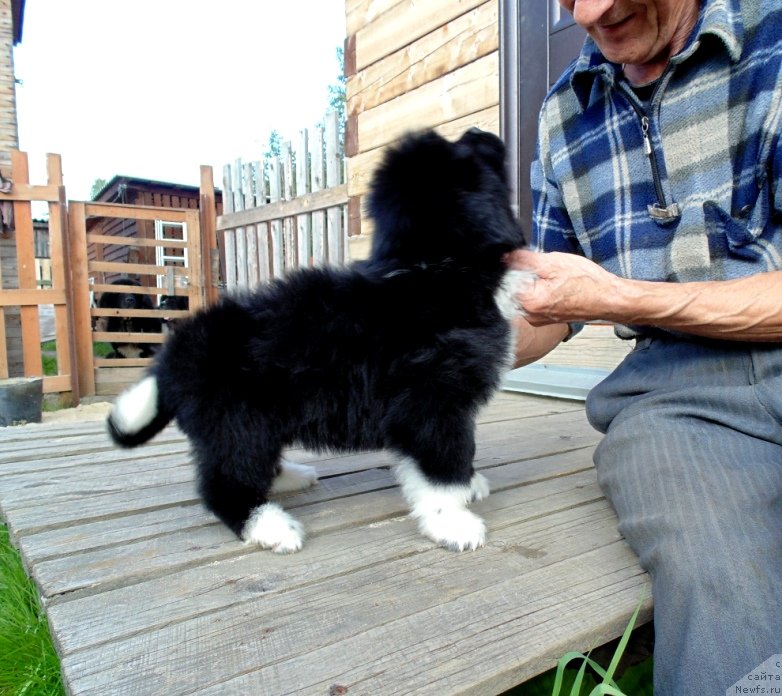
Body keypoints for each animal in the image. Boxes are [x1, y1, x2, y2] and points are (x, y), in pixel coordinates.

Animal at [108, 128, 528, 556]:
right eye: (464, 149)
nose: (480, 131)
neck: (429, 268)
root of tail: (175, 354)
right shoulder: (433, 404)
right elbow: (443, 467)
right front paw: (453, 522)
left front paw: (469, 487)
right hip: (238, 423)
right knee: (225, 485)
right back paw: (270, 526)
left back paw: (287, 478)